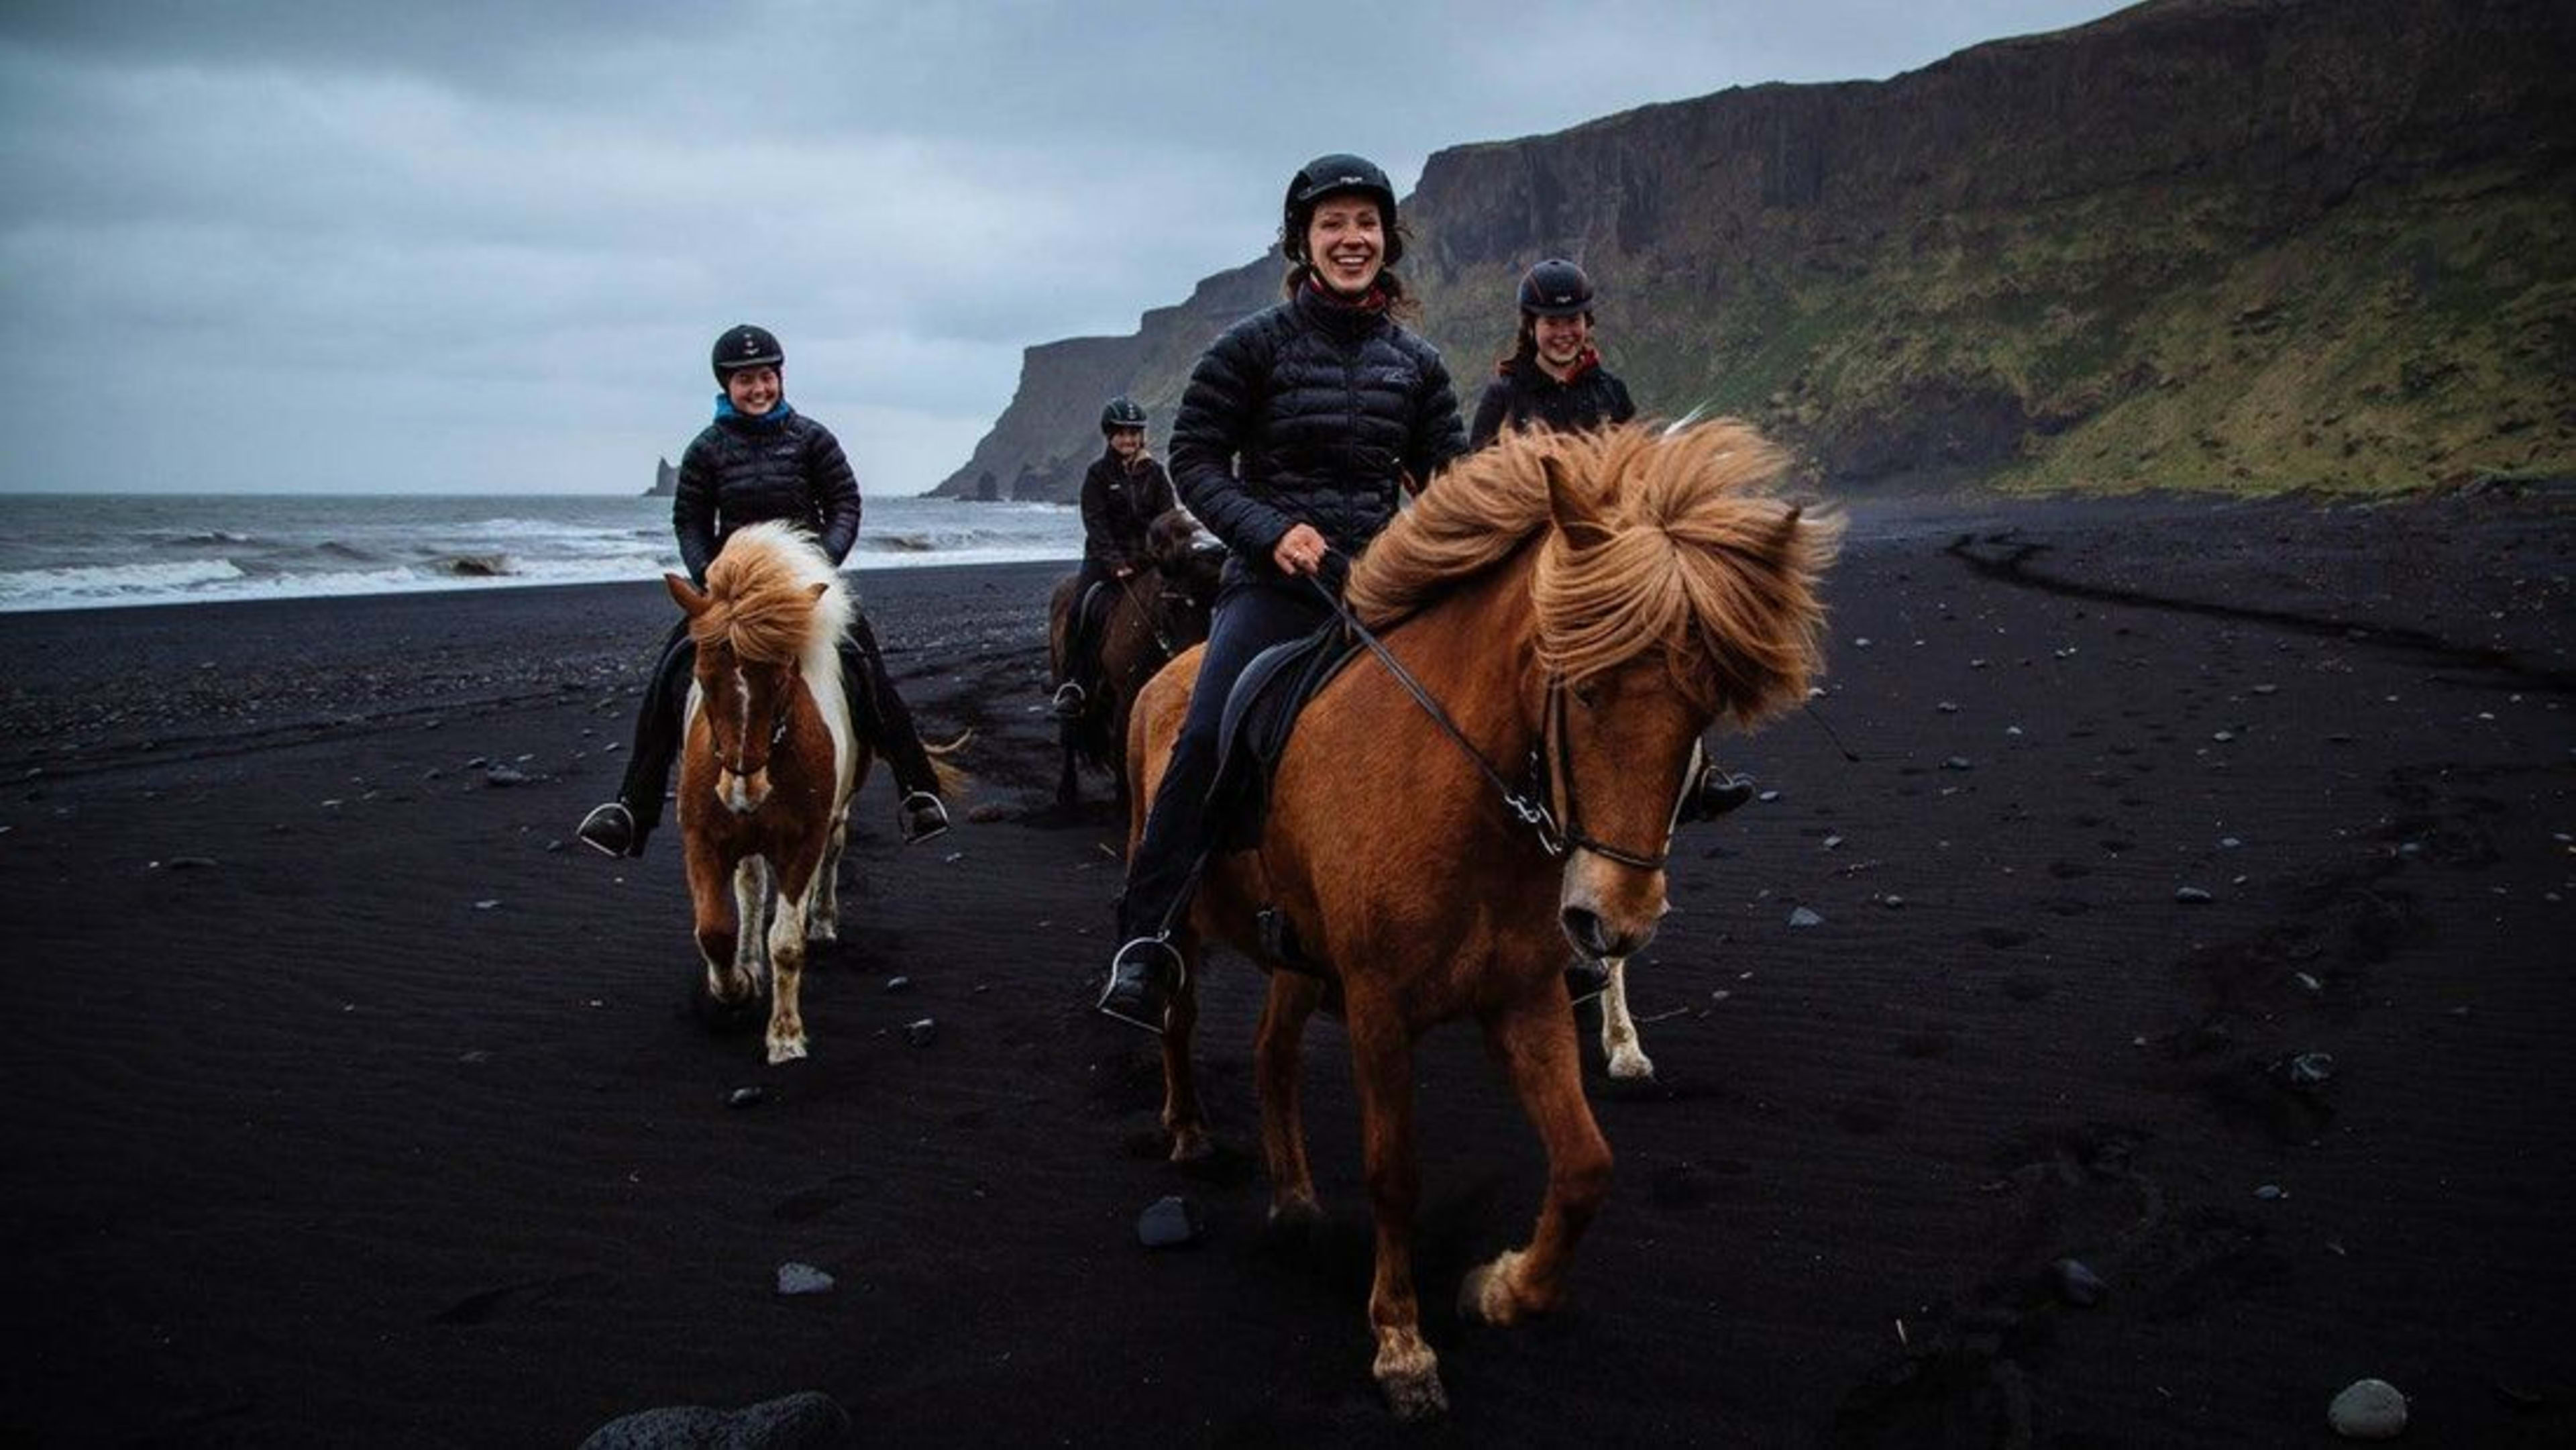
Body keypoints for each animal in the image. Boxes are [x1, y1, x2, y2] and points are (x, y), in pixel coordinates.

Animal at [664, 523, 865, 1066]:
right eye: (702, 677)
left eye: (780, 678)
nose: (743, 791)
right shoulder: (703, 839)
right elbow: (715, 929)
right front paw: (735, 985)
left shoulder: (802, 842)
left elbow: (788, 943)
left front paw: (786, 1036)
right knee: (752, 887)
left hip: (836, 817)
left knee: (832, 858)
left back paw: (823, 921)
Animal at [1040, 507, 1221, 803]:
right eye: (1171, 604)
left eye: (1215, 605)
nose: (1190, 668)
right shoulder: (1126, 698)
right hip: (1064, 677)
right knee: (1069, 733)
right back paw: (1066, 790)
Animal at [1128, 419, 1834, 1421]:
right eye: (1584, 688)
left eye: (1703, 708)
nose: (1614, 921)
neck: (1457, 792)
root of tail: (1167, 675)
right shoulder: (1380, 1010)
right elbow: (1395, 1173)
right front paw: (1402, 1345)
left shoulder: (1524, 997)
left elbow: (1585, 1165)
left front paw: (1499, 1289)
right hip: (1183, 920)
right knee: (1178, 1019)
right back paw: (1188, 1129)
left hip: (1300, 961)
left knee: (1271, 1054)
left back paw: (1296, 1200)